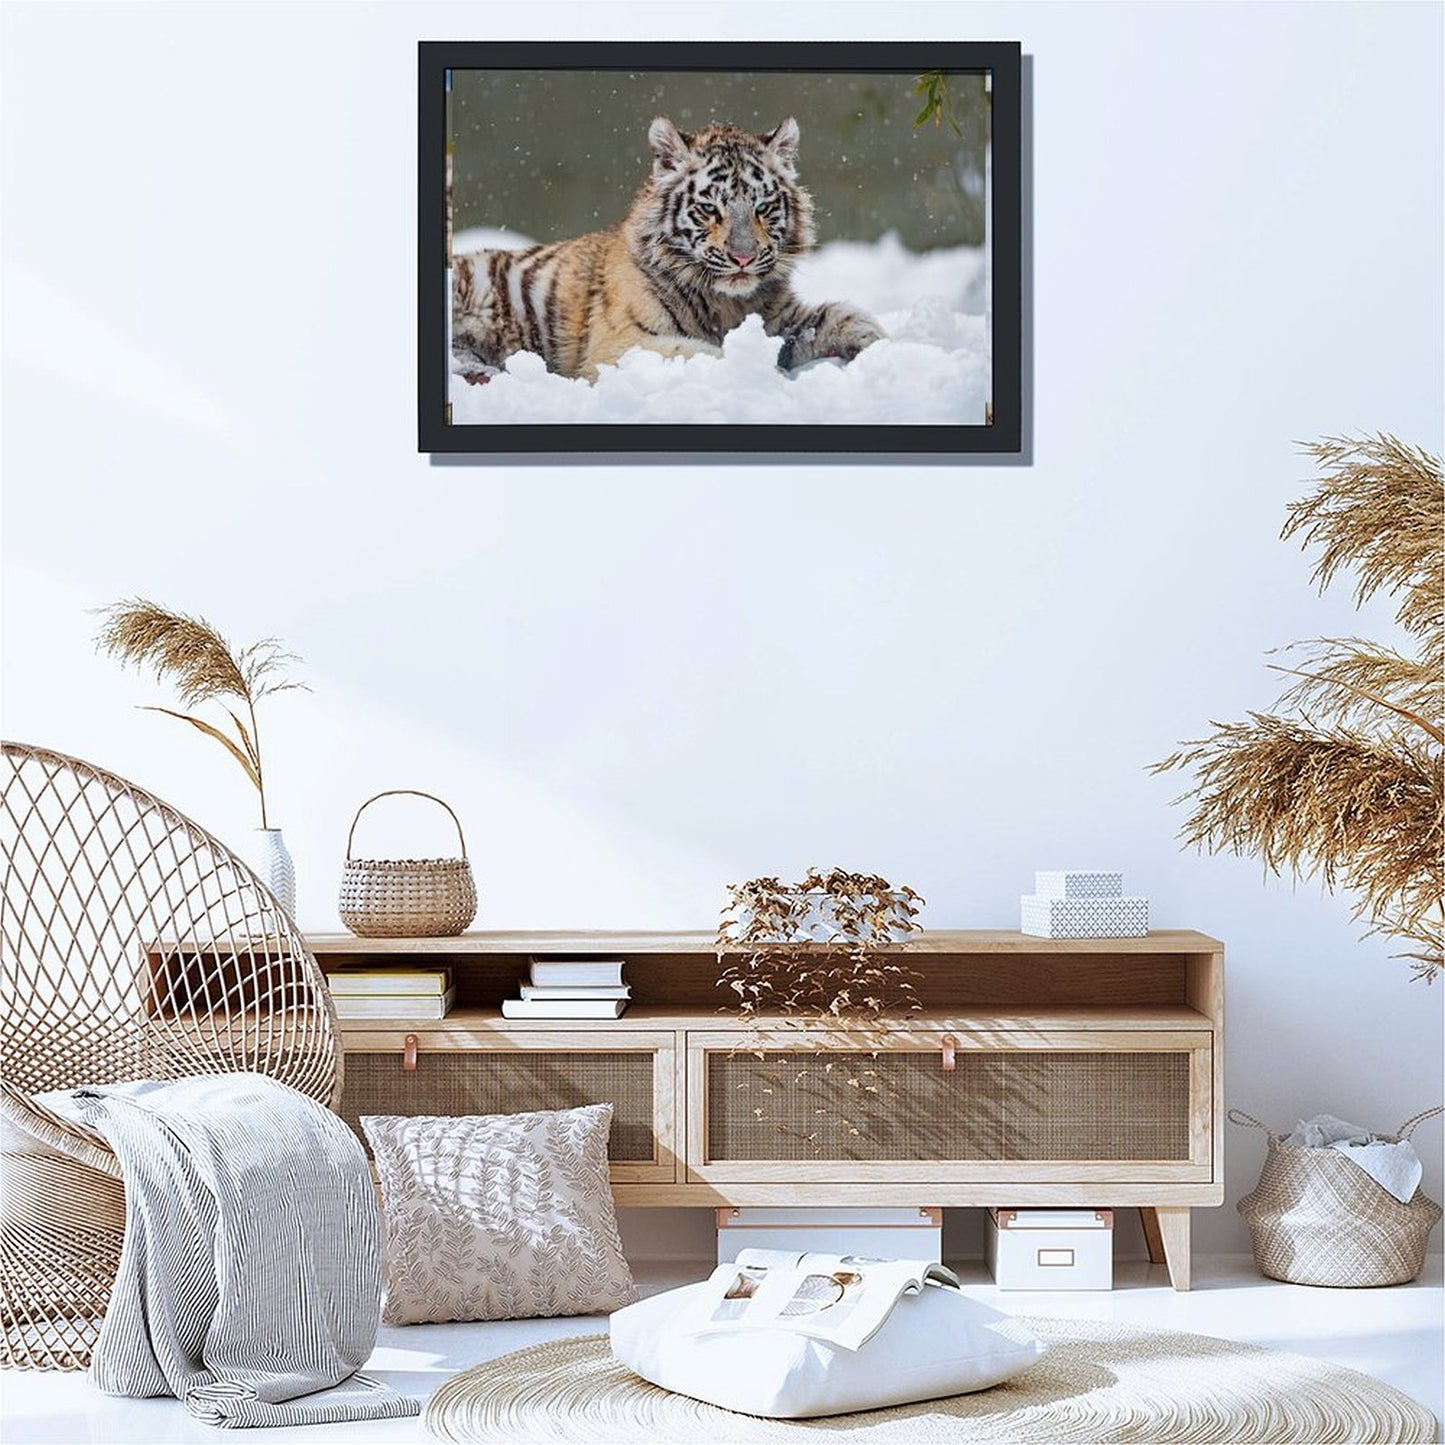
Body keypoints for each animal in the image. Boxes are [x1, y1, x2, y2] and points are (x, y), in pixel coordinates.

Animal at [451, 115, 883, 383]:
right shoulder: (621, 345)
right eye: (709, 209)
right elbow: (703, 353)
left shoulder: (781, 318)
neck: (727, 303)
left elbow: (846, 317)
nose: (743, 258)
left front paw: (884, 347)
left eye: (762, 208)